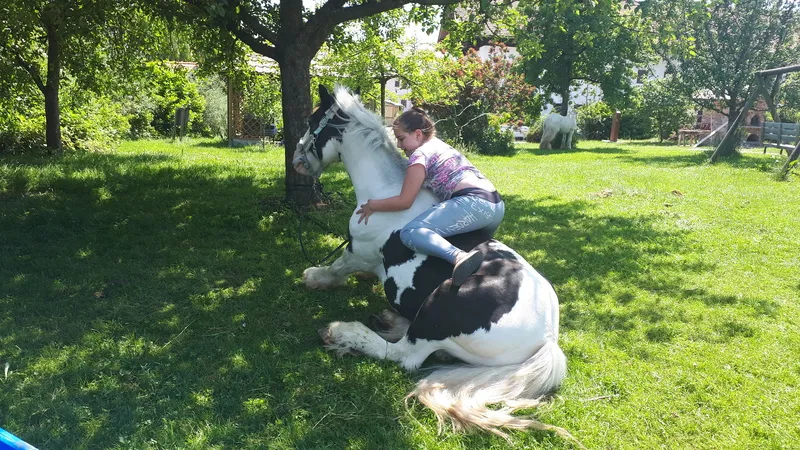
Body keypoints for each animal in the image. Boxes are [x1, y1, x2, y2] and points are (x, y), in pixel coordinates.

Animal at [290, 85, 580, 442]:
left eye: (311, 121)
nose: (297, 162)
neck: (387, 194)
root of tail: (547, 339)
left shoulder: (358, 250)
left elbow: (336, 268)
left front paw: (313, 277)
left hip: (437, 306)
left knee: (404, 355)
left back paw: (342, 332)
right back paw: (388, 319)